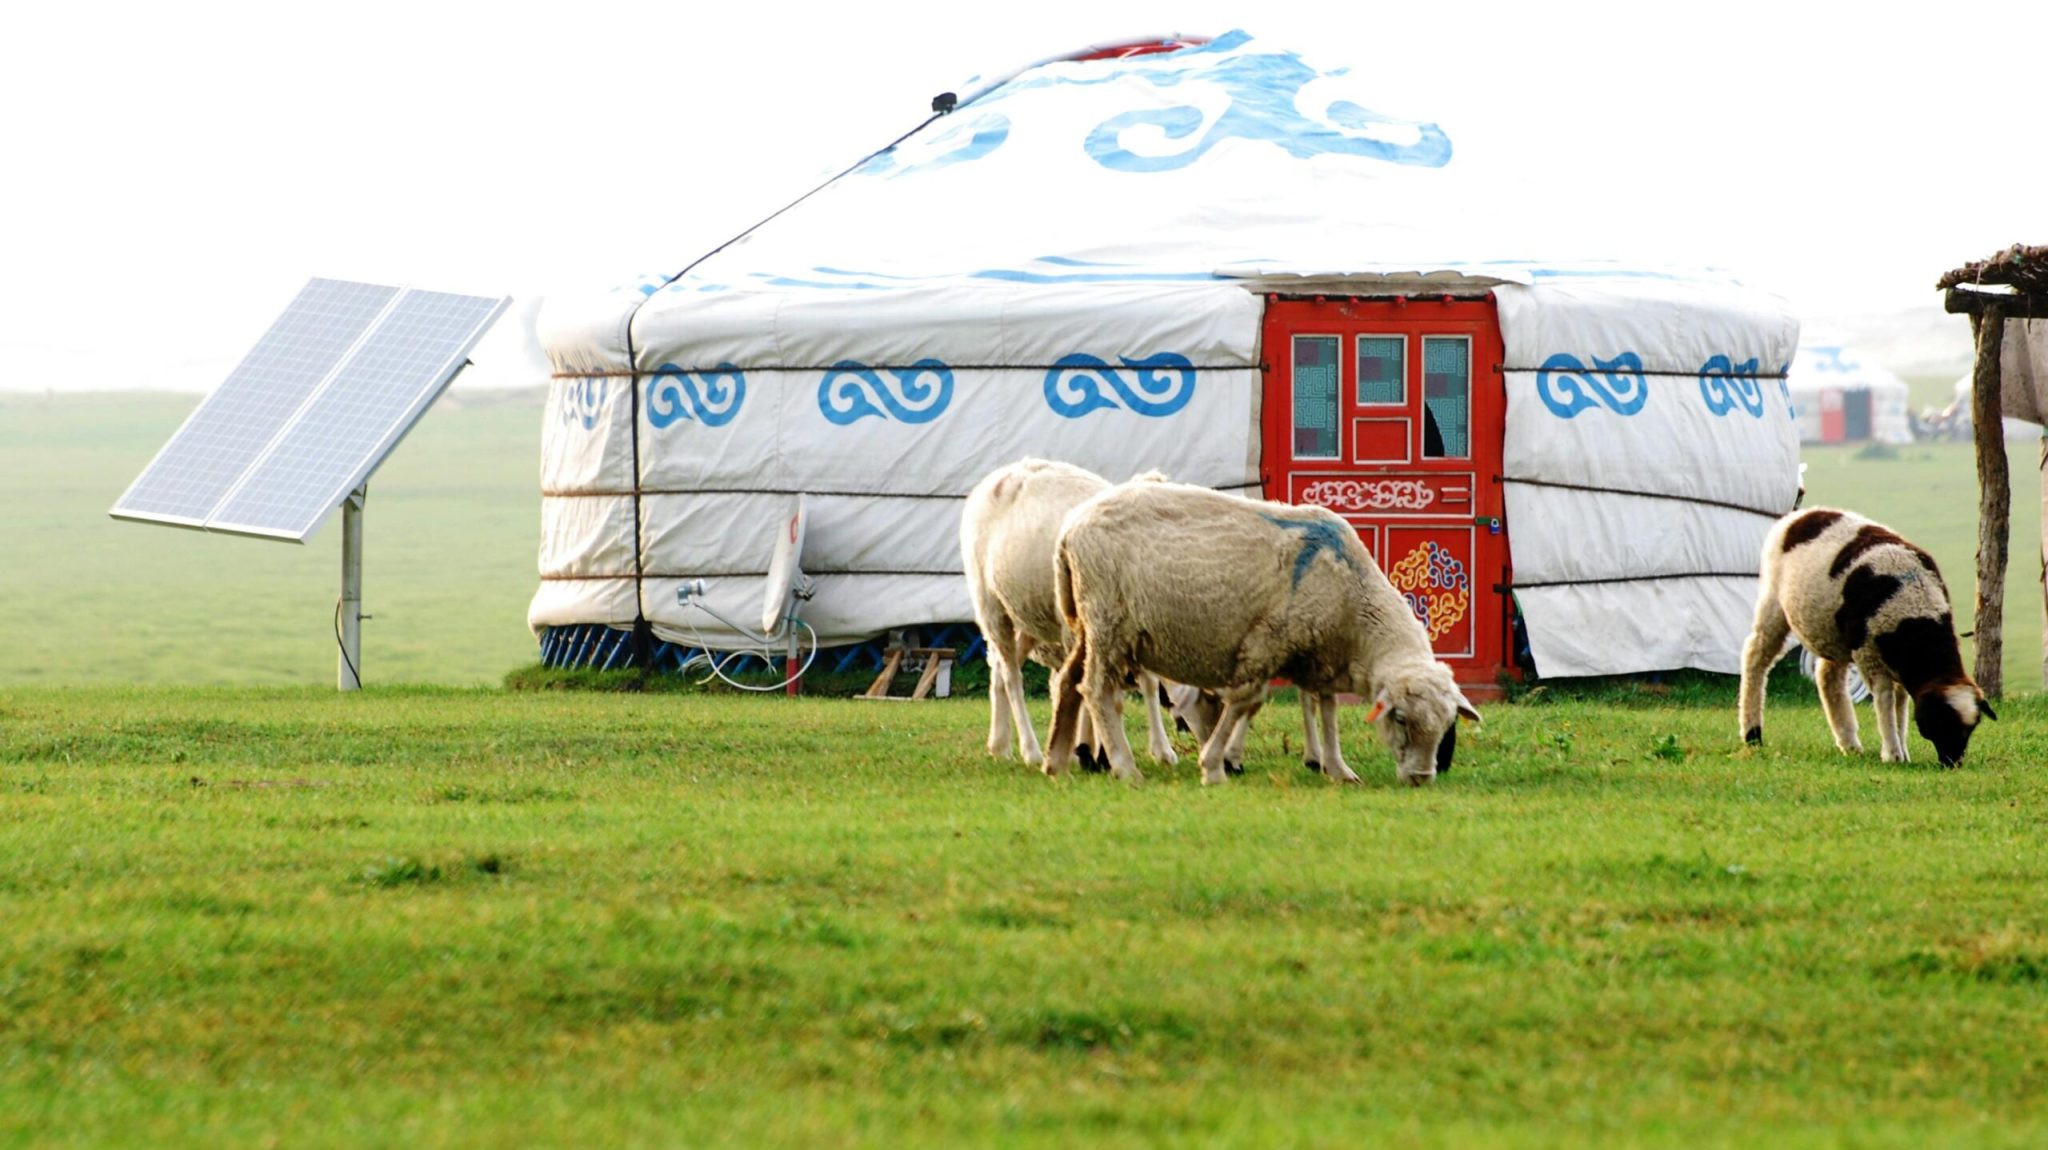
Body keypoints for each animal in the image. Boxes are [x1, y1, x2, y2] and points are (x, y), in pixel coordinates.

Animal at [959, 458, 1178, 772]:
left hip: (1028, 614)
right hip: (990, 605)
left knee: (1000, 669)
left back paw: (999, 745)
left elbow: (1148, 683)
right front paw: (1090, 751)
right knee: (1012, 677)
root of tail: (1002, 474)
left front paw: (1160, 750)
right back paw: (1031, 750)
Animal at [1044, 481, 1479, 785]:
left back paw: (1056, 761)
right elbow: (1245, 701)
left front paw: (1338, 768)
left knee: (1067, 682)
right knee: (1096, 690)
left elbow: (1327, 710)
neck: (1355, 603)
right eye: (1401, 719)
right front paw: (1213, 766)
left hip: (1088, 625)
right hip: (1108, 621)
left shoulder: (1320, 654)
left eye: (1446, 726)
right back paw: (1124, 767)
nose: (1421, 779)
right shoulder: (1267, 641)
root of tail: (1069, 529)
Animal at [1739, 506, 1995, 767]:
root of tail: (1802, 515)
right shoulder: (1868, 652)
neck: (1914, 613)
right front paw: (1892, 753)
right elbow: (1885, 700)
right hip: (1773, 601)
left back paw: (1849, 743)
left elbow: (1901, 703)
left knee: (1828, 678)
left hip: (1833, 631)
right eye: (1942, 722)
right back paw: (1752, 734)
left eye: (1970, 729)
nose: (1952, 764)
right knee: (1755, 658)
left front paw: (1903, 750)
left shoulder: (1897, 663)